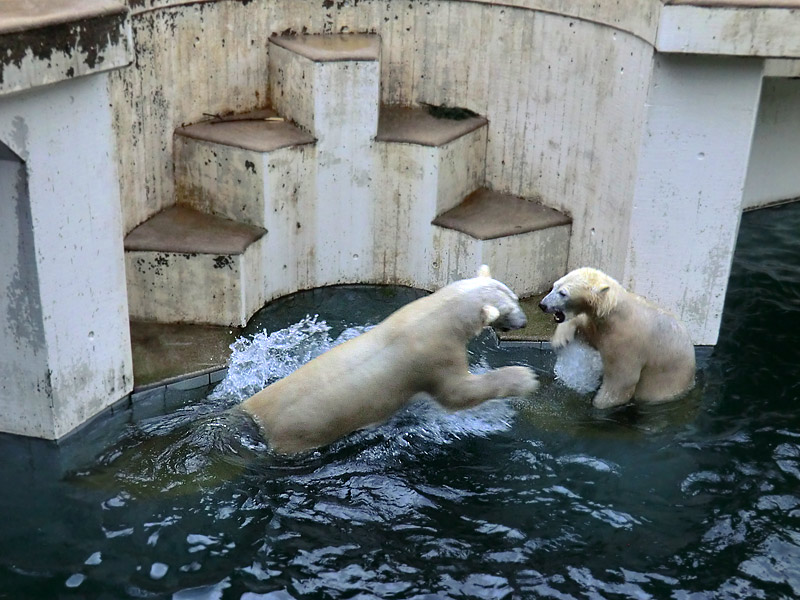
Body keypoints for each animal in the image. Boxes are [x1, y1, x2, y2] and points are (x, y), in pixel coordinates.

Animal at [241, 264, 540, 452]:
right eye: (510, 309)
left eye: (514, 297)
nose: (524, 321)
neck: (437, 314)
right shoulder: (435, 355)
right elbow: (458, 393)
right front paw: (524, 377)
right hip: (298, 435)